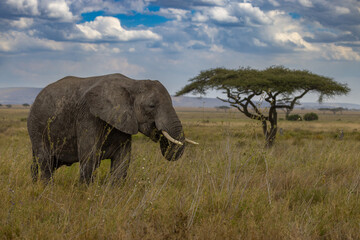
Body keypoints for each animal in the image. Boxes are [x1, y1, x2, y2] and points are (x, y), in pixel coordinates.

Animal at [27, 73, 197, 184]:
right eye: (151, 106)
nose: (159, 132)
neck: (133, 83)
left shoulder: (123, 121)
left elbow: (123, 161)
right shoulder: (88, 116)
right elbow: (89, 158)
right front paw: (85, 195)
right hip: (36, 126)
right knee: (46, 163)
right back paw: (47, 190)